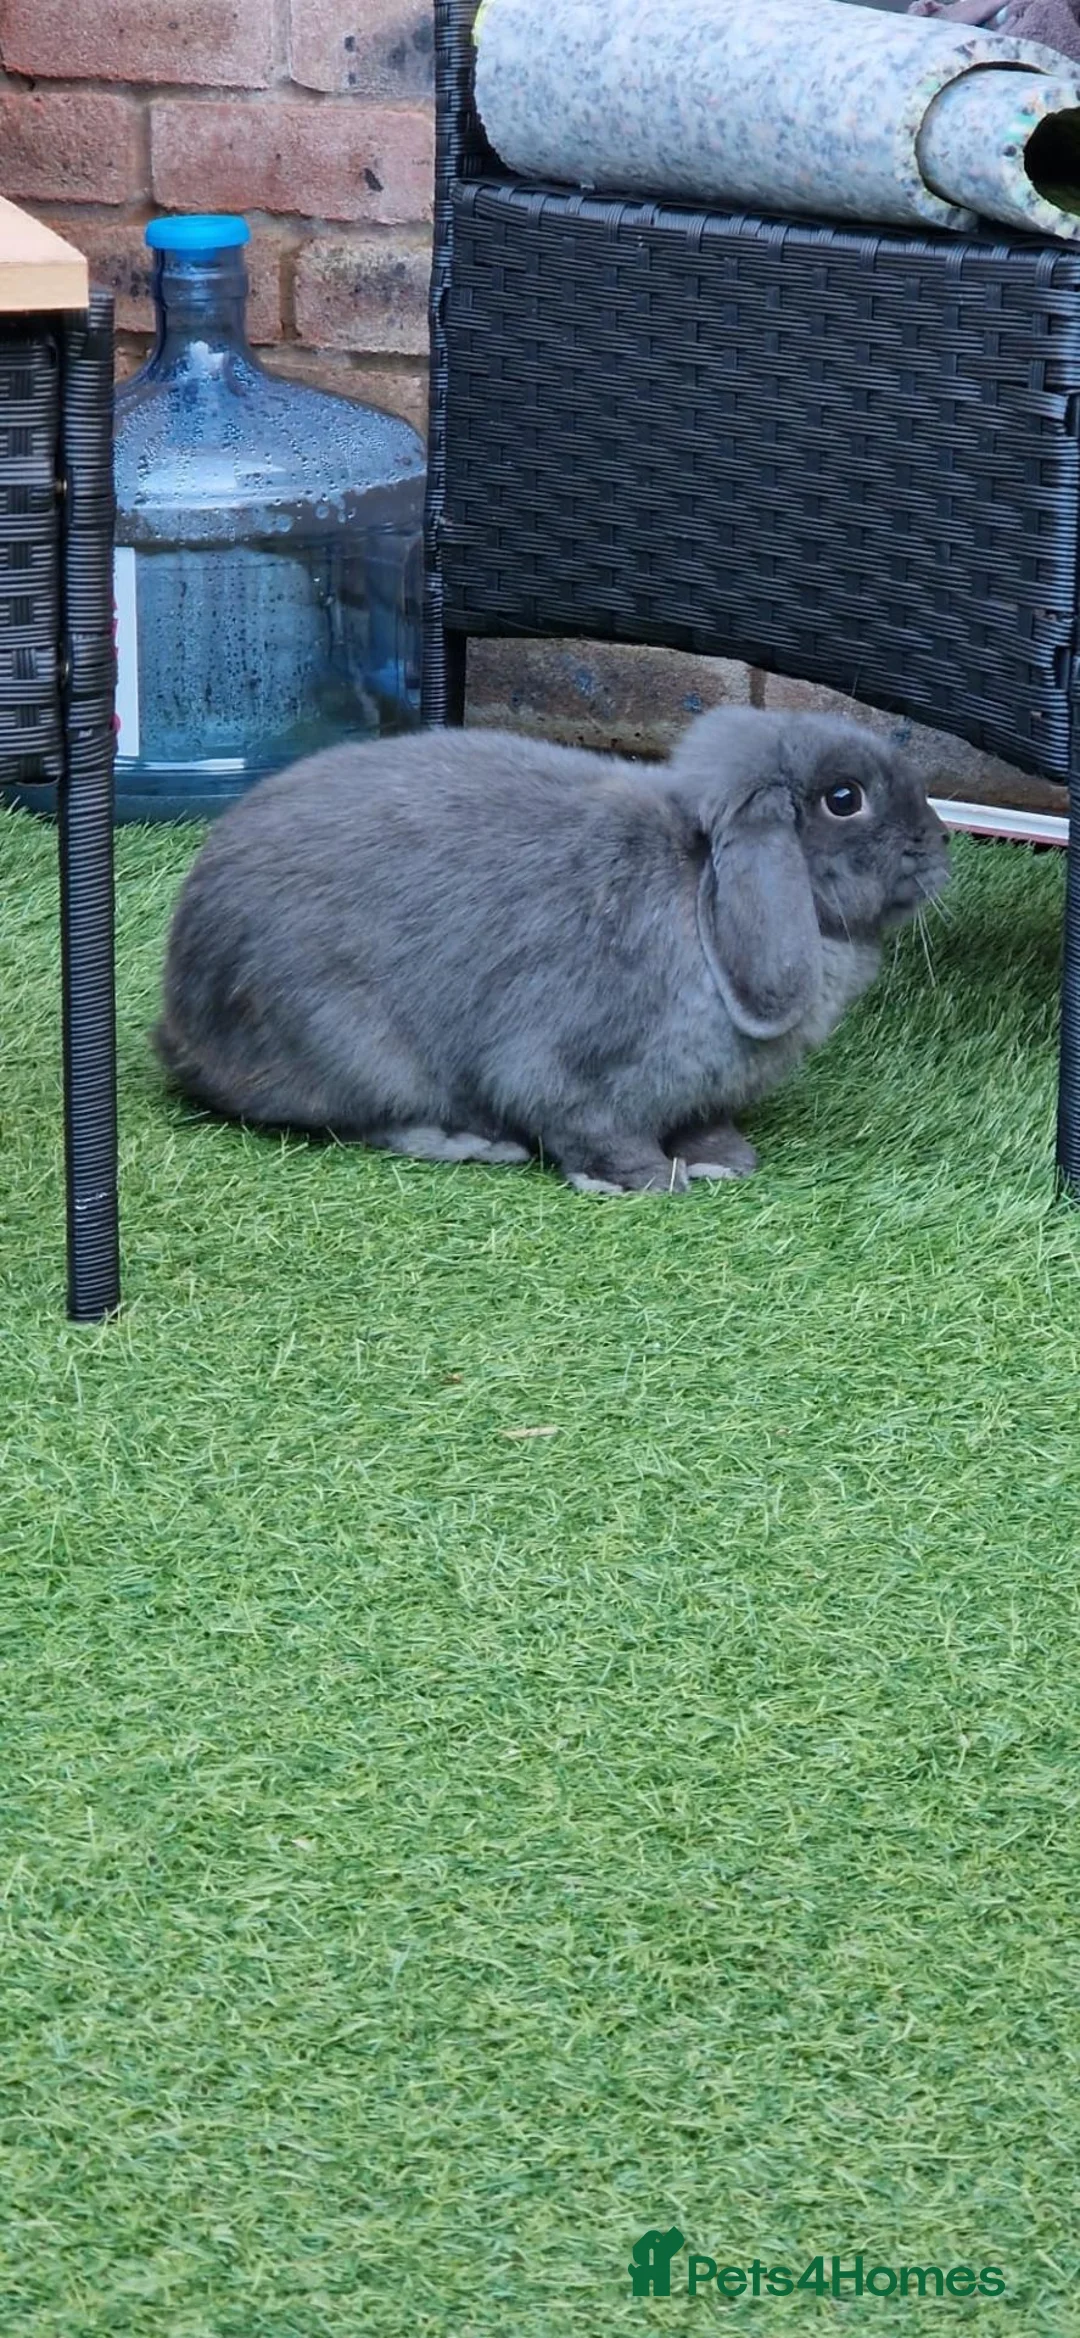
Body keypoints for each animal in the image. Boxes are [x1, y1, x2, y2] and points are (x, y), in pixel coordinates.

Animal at [154, 706, 950, 1195]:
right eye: (844, 799)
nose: (940, 842)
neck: (704, 887)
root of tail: (182, 1029)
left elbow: (698, 1123)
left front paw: (726, 1159)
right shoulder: (578, 1071)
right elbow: (588, 1126)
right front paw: (648, 1181)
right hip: (352, 1045)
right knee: (368, 1120)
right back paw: (471, 1142)